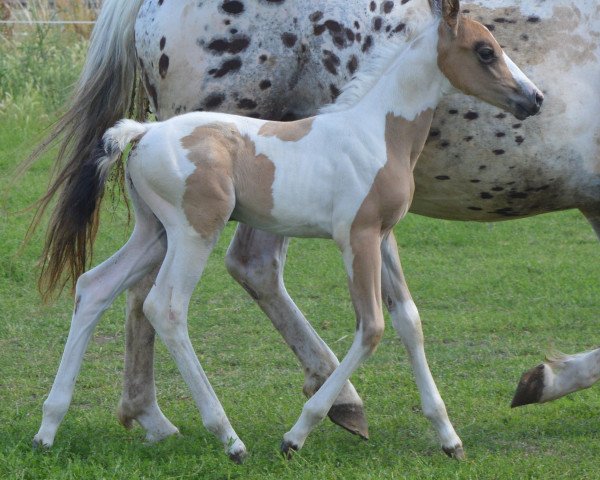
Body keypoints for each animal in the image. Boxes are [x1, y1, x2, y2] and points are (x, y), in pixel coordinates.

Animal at [27, 0, 596, 458]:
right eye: (484, 50)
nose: (534, 99)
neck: (374, 131)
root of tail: (141, 132)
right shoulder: (356, 238)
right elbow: (372, 328)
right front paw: (297, 435)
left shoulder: (383, 236)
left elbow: (409, 321)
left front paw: (449, 437)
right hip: (193, 233)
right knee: (165, 306)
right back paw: (229, 438)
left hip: (154, 233)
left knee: (95, 286)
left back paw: (50, 428)